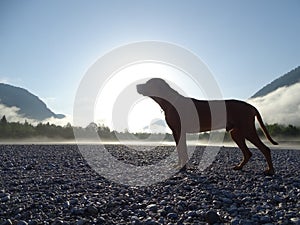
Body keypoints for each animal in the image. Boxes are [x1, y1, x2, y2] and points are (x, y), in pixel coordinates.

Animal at [137, 78, 278, 175]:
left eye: (148, 83)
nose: (137, 85)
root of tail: (251, 106)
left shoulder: (180, 131)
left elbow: (183, 151)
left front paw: (183, 167)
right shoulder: (176, 132)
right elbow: (180, 151)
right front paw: (179, 166)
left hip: (247, 130)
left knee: (265, 149)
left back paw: (270, 171)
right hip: (236, 133)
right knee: (248, 153)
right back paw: (239, 167)